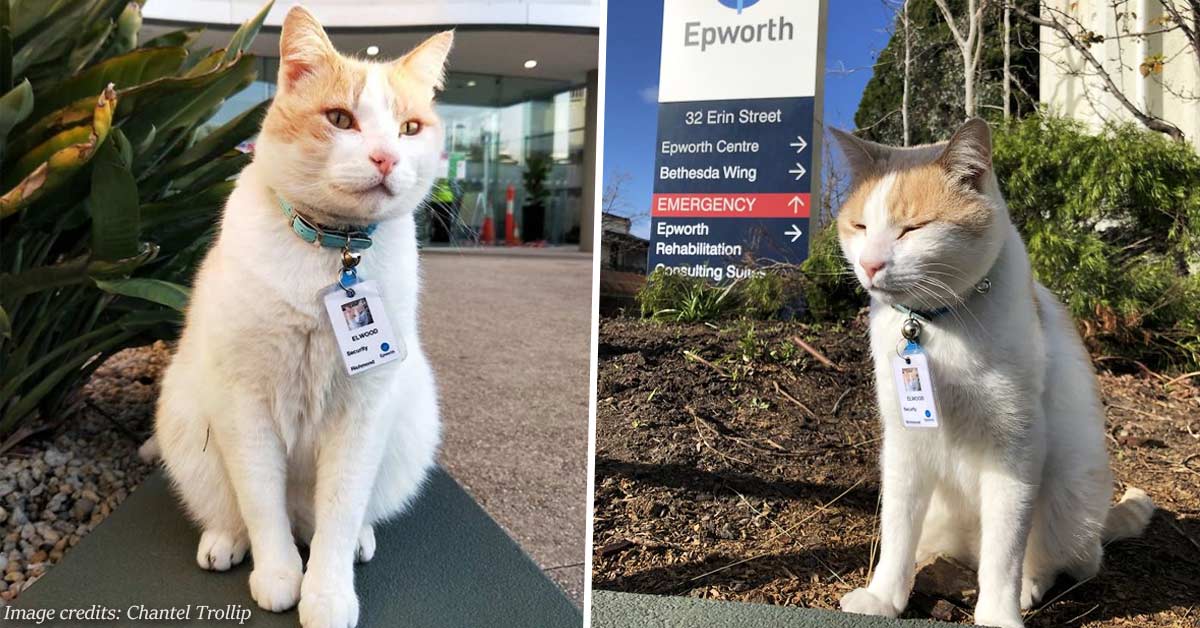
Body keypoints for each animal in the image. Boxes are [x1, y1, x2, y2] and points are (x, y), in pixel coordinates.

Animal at [145, 6, 451, 628]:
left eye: (409, 129)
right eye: (339, 119)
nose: (385, 157)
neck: (333, 251)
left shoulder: (363, 413)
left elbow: (340, 510)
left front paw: (327, 594)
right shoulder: (245, 407)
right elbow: (261, 503)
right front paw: (279, 575)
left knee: (333, 519)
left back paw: (356, 541)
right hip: (189, 425)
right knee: (236, 510)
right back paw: (225, 541)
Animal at [835, 117, 1152, 628]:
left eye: (912, 228)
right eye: (860, 226)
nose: (869, 263)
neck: (936, 326)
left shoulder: (1016, 449)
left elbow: (1006, 549)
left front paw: (999, 614)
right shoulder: (904, 444)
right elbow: (897, 531)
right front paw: (884, 597)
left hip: (1070, 491)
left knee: (1061, 560)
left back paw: (1028, 586)